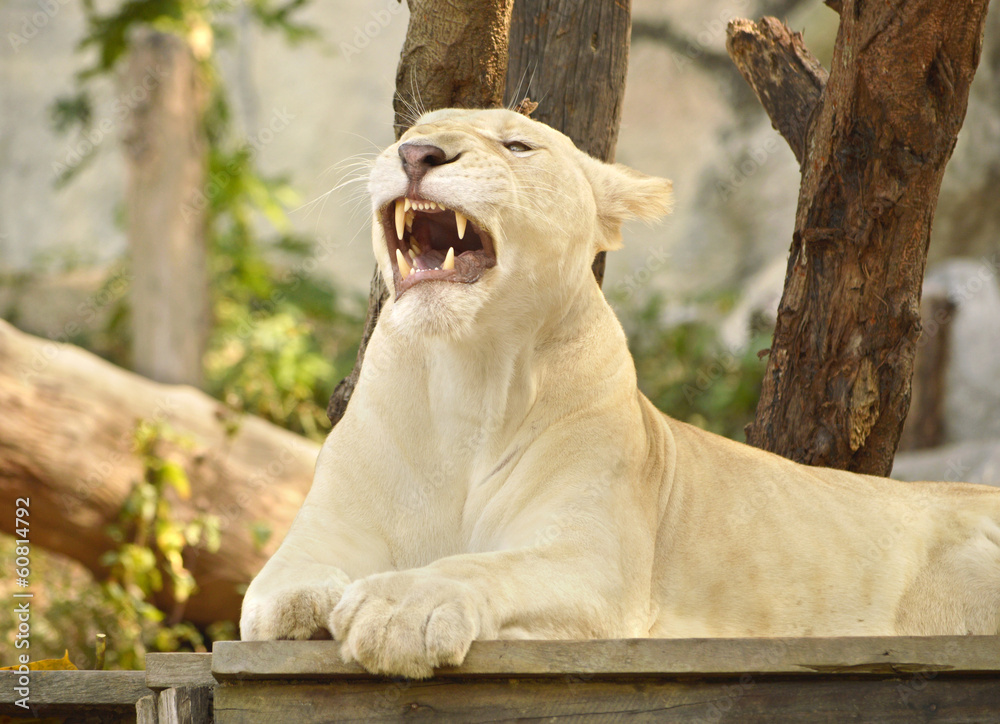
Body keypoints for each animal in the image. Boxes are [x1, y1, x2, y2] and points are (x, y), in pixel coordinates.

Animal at [240, 108, 1000, 679]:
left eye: (516, 145)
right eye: (411, 131)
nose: (417, 153)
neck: (465, 376)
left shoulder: (592, 561)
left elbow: (482, 566)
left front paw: (399, 608)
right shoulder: (310, 543)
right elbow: (277, 593)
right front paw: (321, 606)